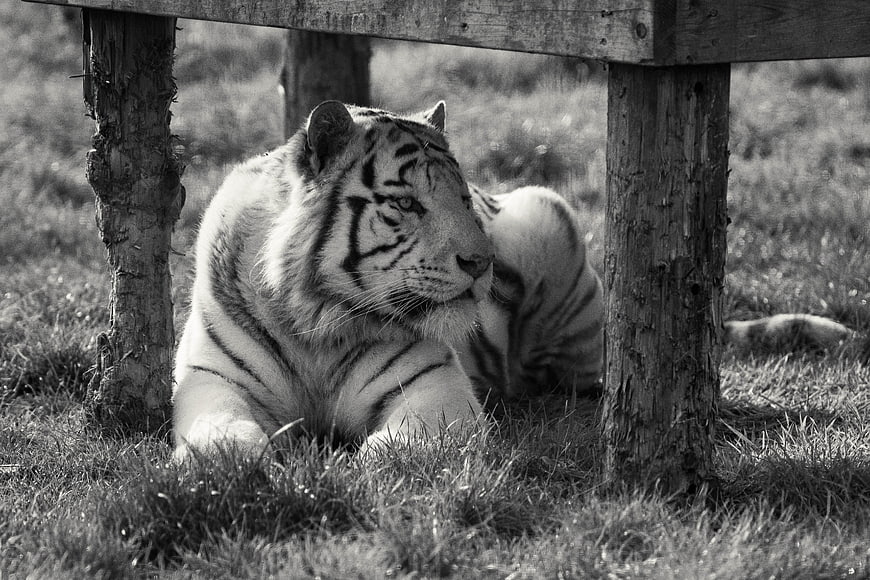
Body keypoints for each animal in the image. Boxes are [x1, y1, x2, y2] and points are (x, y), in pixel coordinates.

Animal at [173, 100, 860, 460]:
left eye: (461, 197)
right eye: (408, 204)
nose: (481, 264)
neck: (317, 320)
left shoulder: (436, 391)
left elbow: (397, 449)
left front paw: (355, 466)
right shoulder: (210, 382)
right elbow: (221, 440)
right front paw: (250, 462)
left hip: (548, 224)